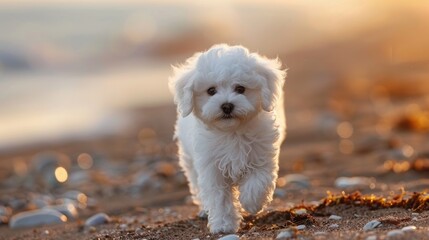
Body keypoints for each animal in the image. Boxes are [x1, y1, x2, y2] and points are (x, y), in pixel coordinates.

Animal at [169, 44, 286, 233]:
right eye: (211, 91)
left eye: (240, 89)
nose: (226, 106)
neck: (232, 132)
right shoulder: (211, 167)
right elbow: (219, 197)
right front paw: (223, 225)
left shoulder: (262, 156)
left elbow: (258, 180)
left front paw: (251, 203)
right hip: (189, 161)